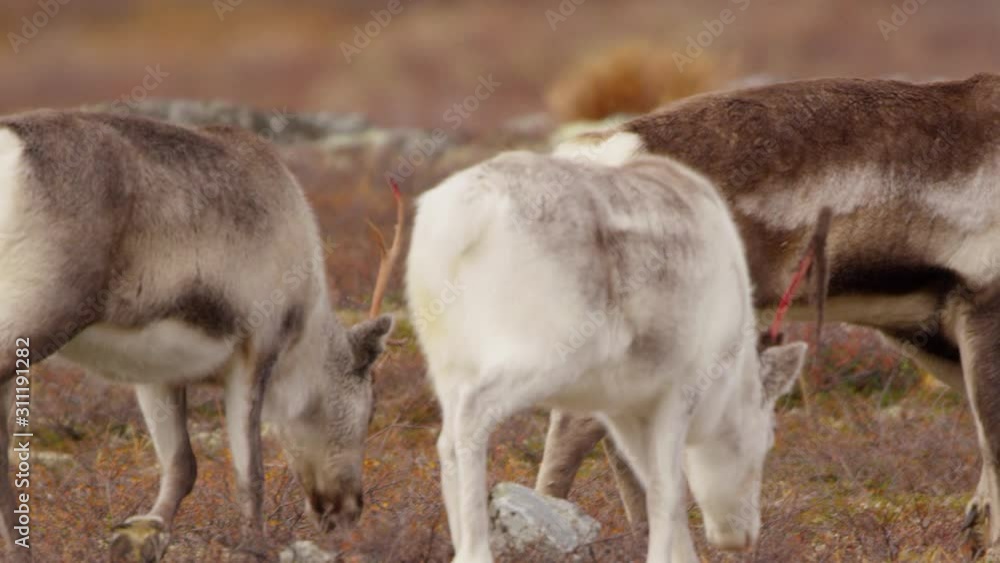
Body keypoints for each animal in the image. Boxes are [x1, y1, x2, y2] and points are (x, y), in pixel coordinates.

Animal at [0, 109, 402, 561]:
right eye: (369, 409)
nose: (349, 512)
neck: (306, 328)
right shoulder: (255, 352)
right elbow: (250, 475)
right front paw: (255, 546)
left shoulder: (156, 374)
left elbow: (181, 467)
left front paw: (142, 535)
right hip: (38, 313)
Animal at [406, 143, 810, 562]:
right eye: (768, 436)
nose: (742, 537)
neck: (728, 382)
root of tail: (464, 214)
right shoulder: (680, 392)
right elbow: (668, 494)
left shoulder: (623, 410)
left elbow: (653, 488)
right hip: (544, 355)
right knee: (473, 416)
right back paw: (475, 549)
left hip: (447, 363)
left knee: (446, 439)